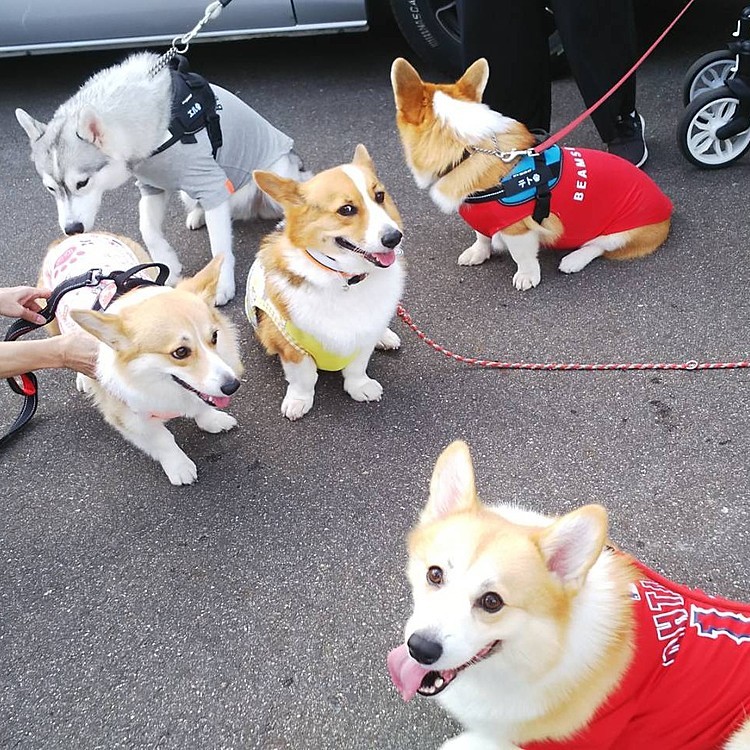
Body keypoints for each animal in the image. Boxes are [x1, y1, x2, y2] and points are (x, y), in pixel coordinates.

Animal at [16, 52, 308, 306]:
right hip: (188, 193)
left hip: (273, 173)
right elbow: (147, 228)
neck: (158, 125)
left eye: (82, 183)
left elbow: (220, 248)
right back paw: (198, 215)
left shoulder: (209, 182)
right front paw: (168, 262)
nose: (72, 229)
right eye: (51, 189)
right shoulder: (151, 186)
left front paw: (221, 285)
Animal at [39, 232, 244, 484]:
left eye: (214, 336)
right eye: (180, 352)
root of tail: (76, 237)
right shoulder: (128, 417)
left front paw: (212, 421)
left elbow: (202, 406)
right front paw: (179, 467)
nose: (232, 386)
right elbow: (163, 440)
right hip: (53, 323)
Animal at [248, 144, 408, 420]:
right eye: (347, 209)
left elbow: (357, 367)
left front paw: (360, 387)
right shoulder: (292, 348)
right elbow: (303, 378)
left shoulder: (363, 337)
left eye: (379, 196)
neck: (345, 280)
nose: (394, 237)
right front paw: (299, 401)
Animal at [390, 58, 672, 290]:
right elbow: (481, 234)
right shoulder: (482, 215)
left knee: (598, 246)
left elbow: (522, 255)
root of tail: (668, 208)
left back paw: (573, 259)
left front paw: (526, 276)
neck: (467, 151)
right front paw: (478, 252)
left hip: (621, 232)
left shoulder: (518, 228)